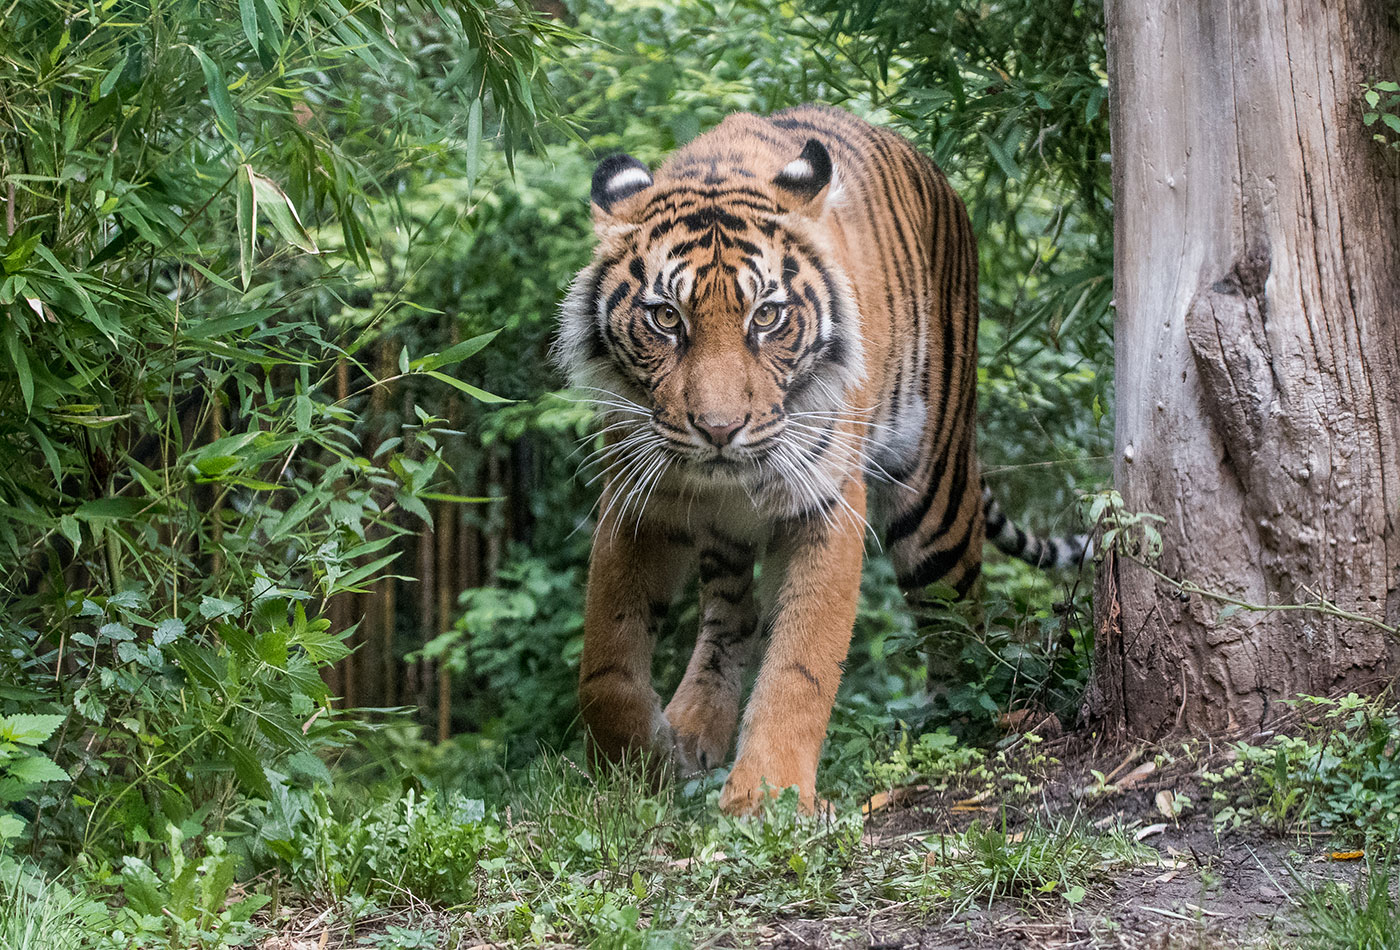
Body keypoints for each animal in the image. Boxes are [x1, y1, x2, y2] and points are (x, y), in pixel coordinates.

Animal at [551, 105, 1086, 817]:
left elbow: (802, 662)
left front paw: (766, 797)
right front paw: (642, 768)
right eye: (665, 318)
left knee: (960, 617)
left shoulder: (824, 501)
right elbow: (605, 664)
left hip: (936, 502)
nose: (719, 430)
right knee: (732, 614)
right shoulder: (640, 498)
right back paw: (694, 726)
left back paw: (964, 722)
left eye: (766, 316)